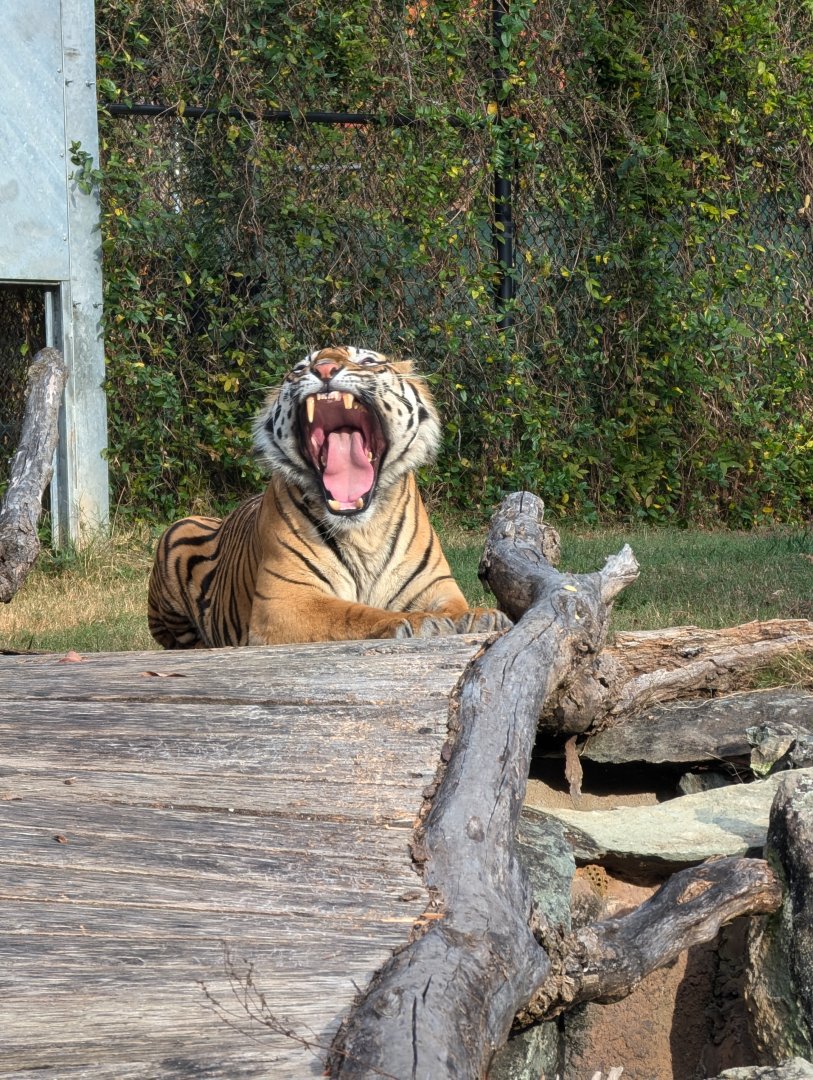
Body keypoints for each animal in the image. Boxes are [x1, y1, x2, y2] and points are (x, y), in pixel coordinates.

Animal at [148, 346, 511, 649]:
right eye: (299, 368)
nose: (324, 368)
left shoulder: (436, 586)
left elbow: (456, 607)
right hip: (176, 531)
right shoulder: (285, 601)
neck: (365, 529)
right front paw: (422, 623)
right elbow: (356, 613)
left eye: (367, 361)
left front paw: (479, 617)